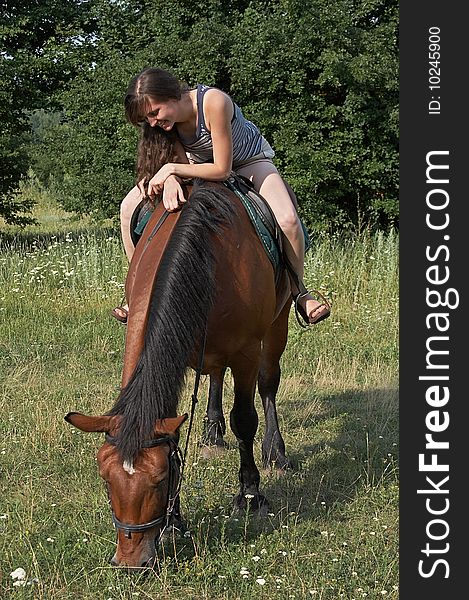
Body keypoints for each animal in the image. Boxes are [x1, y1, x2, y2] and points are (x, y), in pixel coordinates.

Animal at [64, 178, 290, 568]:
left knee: (267, 384)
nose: (131, 561)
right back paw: (212, 431)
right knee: (216, 377)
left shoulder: (246, 350)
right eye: (106, 480)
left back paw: (275, 450)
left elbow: (245, 420)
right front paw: (174, 521)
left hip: (278, 321)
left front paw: (250, 495)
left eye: (159, 479)